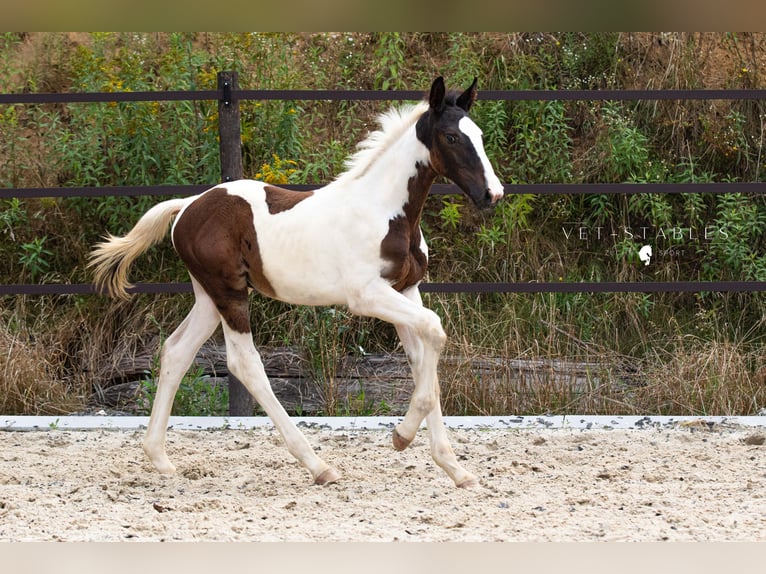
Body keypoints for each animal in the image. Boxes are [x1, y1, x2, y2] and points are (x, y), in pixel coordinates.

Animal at [90, 77, 508, 490]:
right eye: (452, 137)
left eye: (479, 134)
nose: (493, 194)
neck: (386, 212)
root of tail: (187, 206)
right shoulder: (367, 296)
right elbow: (435, 332)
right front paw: (401, 437)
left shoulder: (406, 290)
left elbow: (424, 361)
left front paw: (455, 469)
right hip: (229, 293)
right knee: (244, 363)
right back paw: (319, 466)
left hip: (208, 298)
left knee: (176, 351)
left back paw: (160, 459)